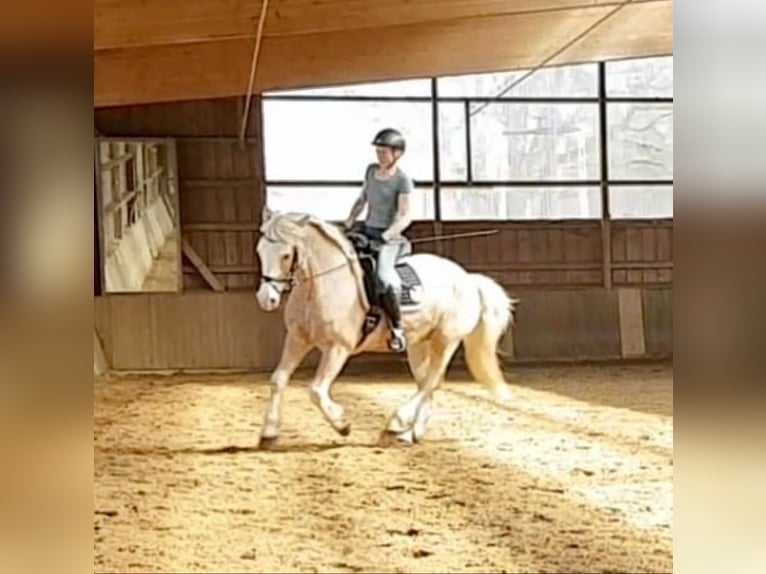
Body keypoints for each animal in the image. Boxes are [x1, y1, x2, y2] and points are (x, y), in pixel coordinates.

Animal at [255, 208, 520, 450]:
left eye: (286, 255)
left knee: (430, 382)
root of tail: (468, 280)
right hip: (419, 344)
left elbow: (316, 391)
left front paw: (343, 425)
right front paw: (268, 434)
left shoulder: (337, 348)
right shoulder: (297, 339)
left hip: (445, 340)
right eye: (260, 251)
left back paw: (395, 425)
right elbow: (278, 380)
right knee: (428, 383)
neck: (322, 284)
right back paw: (410, 434)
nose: (266, 299)